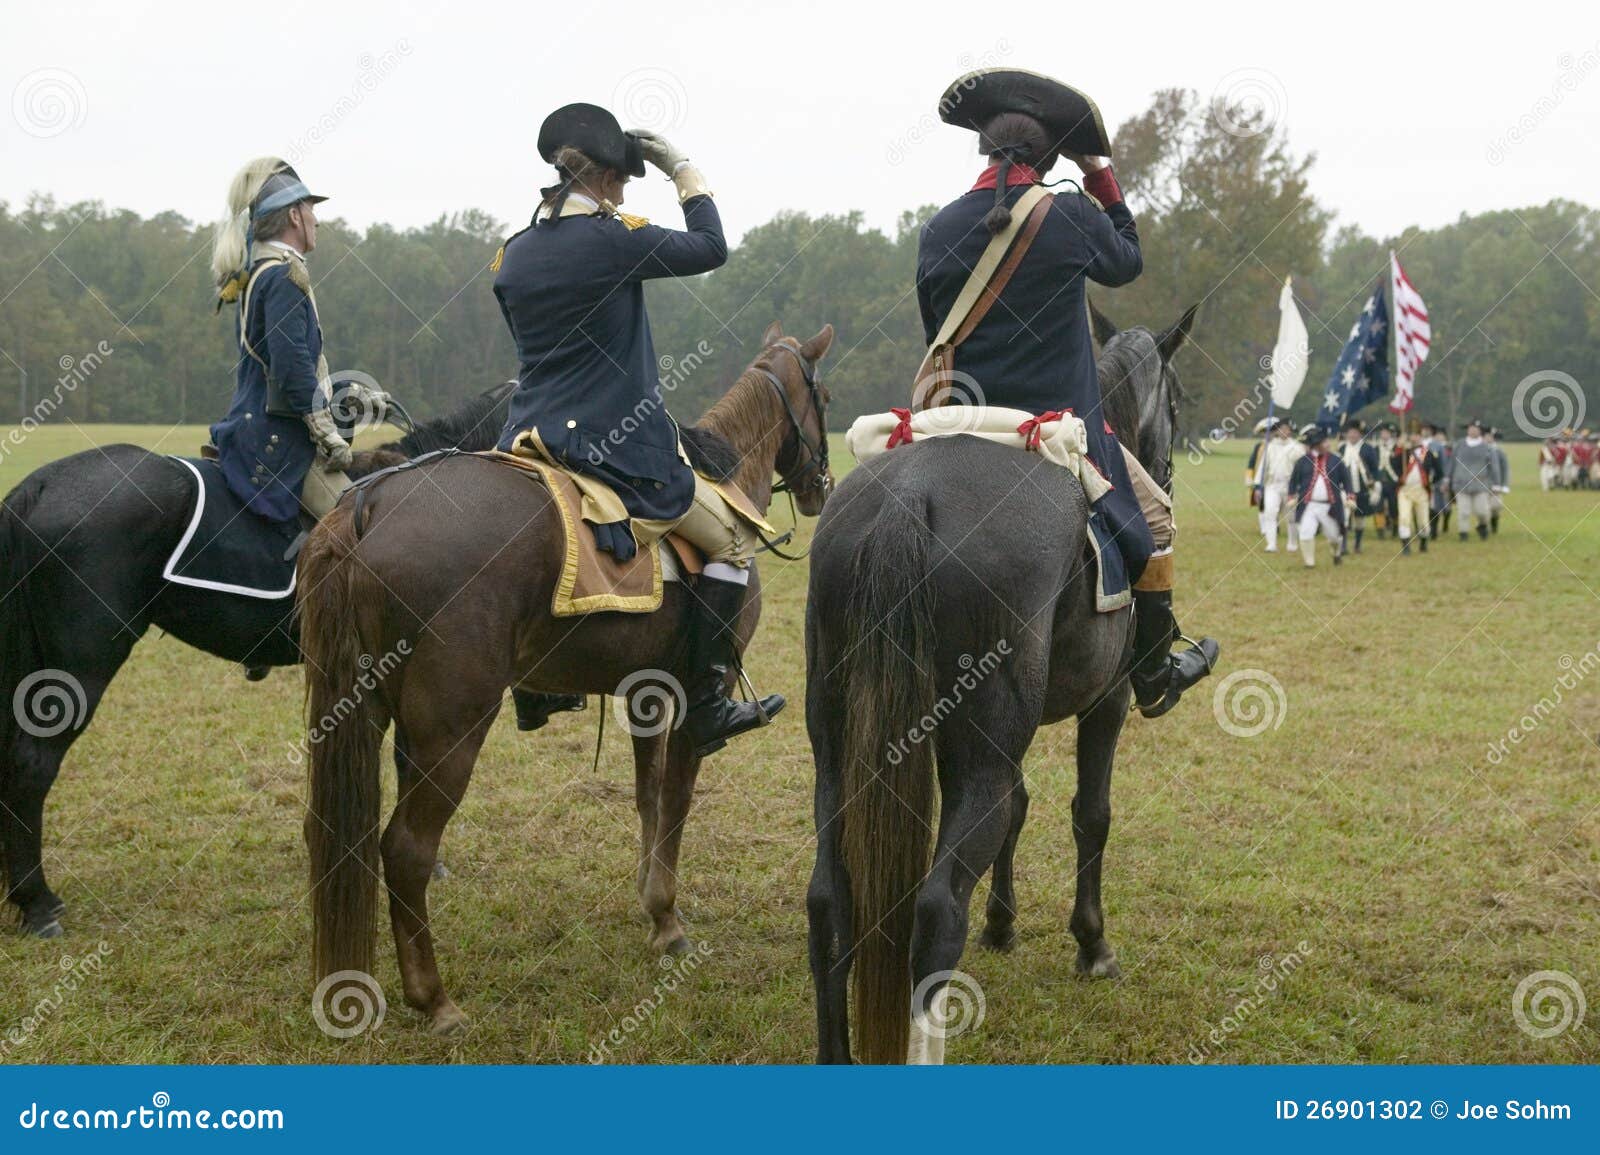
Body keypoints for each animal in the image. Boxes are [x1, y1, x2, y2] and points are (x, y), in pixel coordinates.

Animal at [296, 319, 838, 1030]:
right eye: (823, 396)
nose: (823, 486)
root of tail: (370, 508)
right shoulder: (695, 697)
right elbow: (678, 798)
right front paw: (668, 918)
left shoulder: (645, 691)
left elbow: (648, 795)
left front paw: (651, 910)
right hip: (452, 727)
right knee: (407, 849)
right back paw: (435, 999)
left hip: (371, 714)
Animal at [806, 303, 1196, 1062]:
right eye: (1178, 400)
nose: (1166, 473)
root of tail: (910, 494)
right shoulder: (1106, 702)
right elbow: (1090, 813)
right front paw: (1092, 943)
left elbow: (1020, 807)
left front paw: (1003, 923)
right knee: (935, 912)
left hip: (838, 753)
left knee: (830, 899)